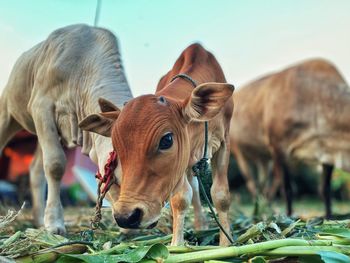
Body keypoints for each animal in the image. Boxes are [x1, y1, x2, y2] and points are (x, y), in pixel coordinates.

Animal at [80, 43, 235, 245]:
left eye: (166, 140)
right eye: (116, 145)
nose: (126, 217)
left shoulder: (223, 143)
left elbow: (220, 196)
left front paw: (226, 242)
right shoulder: (180, 164)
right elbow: (180, 200)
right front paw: (177, 245)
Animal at [230, 58, 350, 218]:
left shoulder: (327, 152)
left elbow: (325, 189)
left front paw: (329, 217)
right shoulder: (278, 147)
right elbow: (287, 189)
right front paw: (288, 216)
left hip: (263, 159)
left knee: (265, 185)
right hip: (238, 151)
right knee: (252, 183)